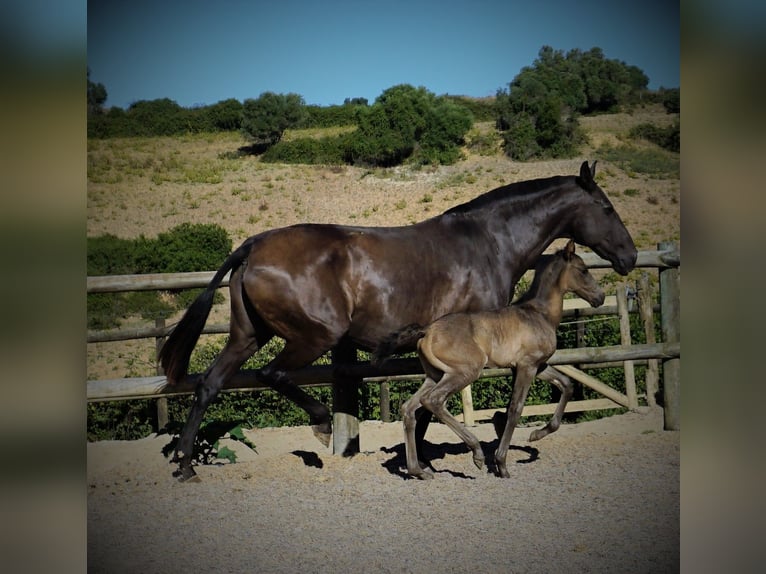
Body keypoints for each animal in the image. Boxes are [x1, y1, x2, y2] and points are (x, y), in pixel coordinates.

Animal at [400, 241, 604, 480]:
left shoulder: (538, 366)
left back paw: (418, 470)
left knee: (409, 408)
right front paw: (501, 464)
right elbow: (515, 409)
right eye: (584, 270)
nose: (600, 297)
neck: (540, 314)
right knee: (432, 401)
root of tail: (427, 331)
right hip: (465, 371)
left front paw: (536, 434)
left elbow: (566, 385)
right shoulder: (527, 366)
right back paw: (476, 453)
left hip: (435, 375)